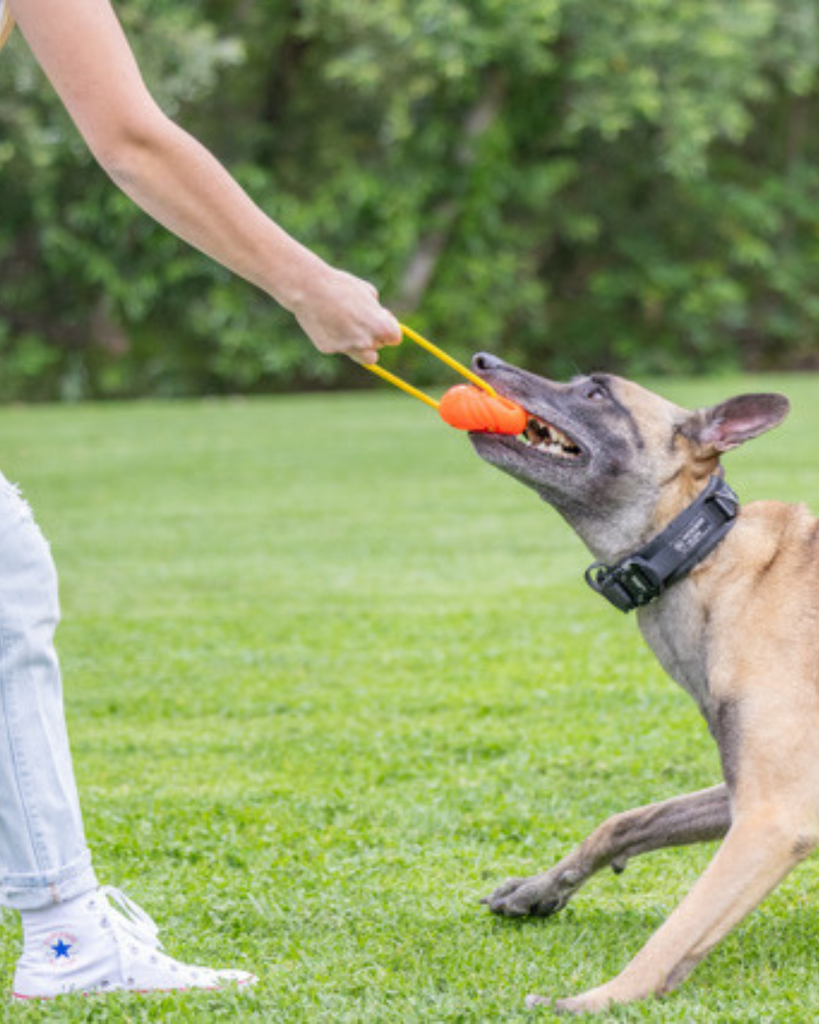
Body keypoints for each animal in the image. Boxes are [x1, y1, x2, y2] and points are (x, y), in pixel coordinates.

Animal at [466, 356, 810, 1011]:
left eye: (597, 393)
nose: (482, 362)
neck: (707, 557)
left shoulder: (773, 818)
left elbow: (675, 932)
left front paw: (594, 1001)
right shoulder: (744, 792)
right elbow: (626, 822)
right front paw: (540, 888)